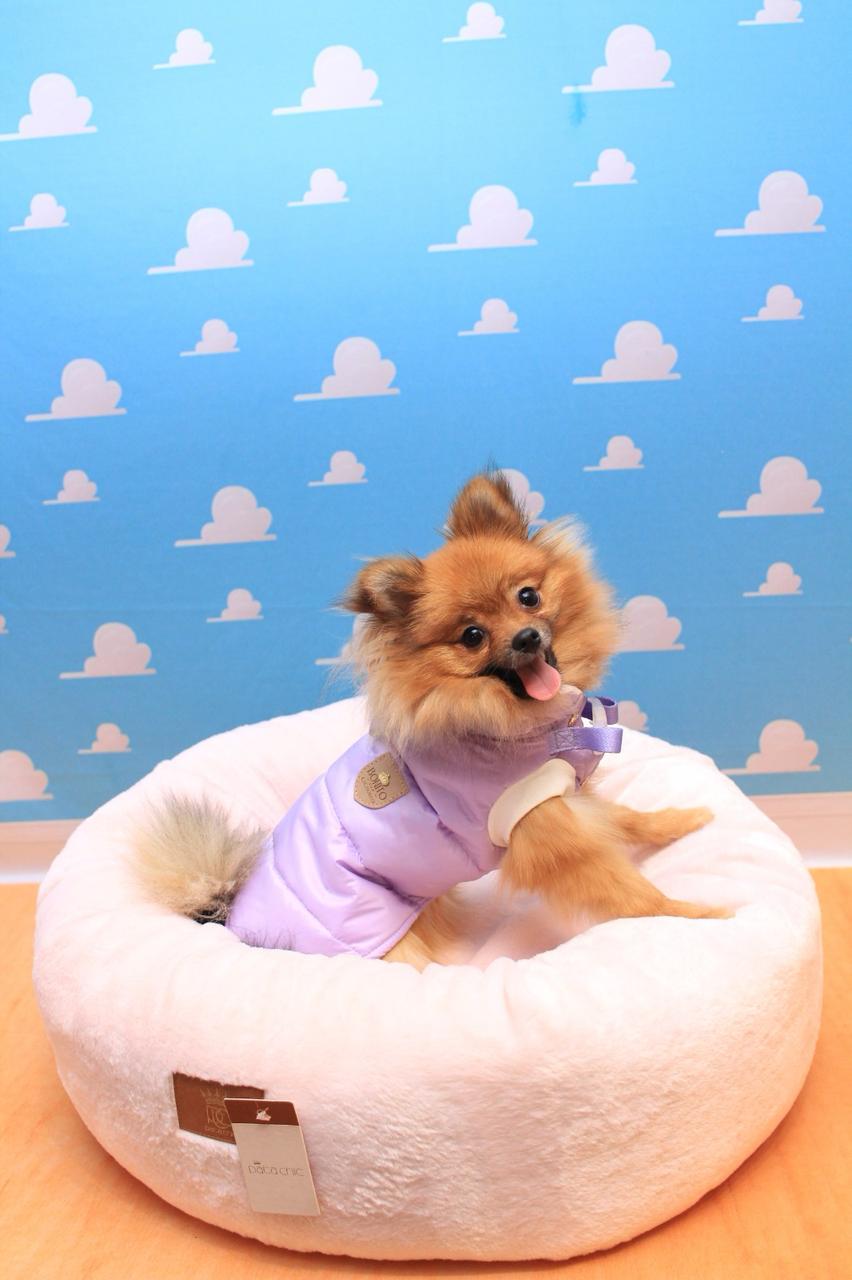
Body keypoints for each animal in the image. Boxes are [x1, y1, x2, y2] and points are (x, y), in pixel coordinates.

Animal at [134, 472, 726, 969]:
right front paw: (698, 915)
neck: (511, 723)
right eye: (472, 636)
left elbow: (627, 818)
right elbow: (625, 891)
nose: (526, 637)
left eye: (528, 596)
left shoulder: (565, 794)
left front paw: (681, 820)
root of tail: (227, 916)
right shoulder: (545, 827)